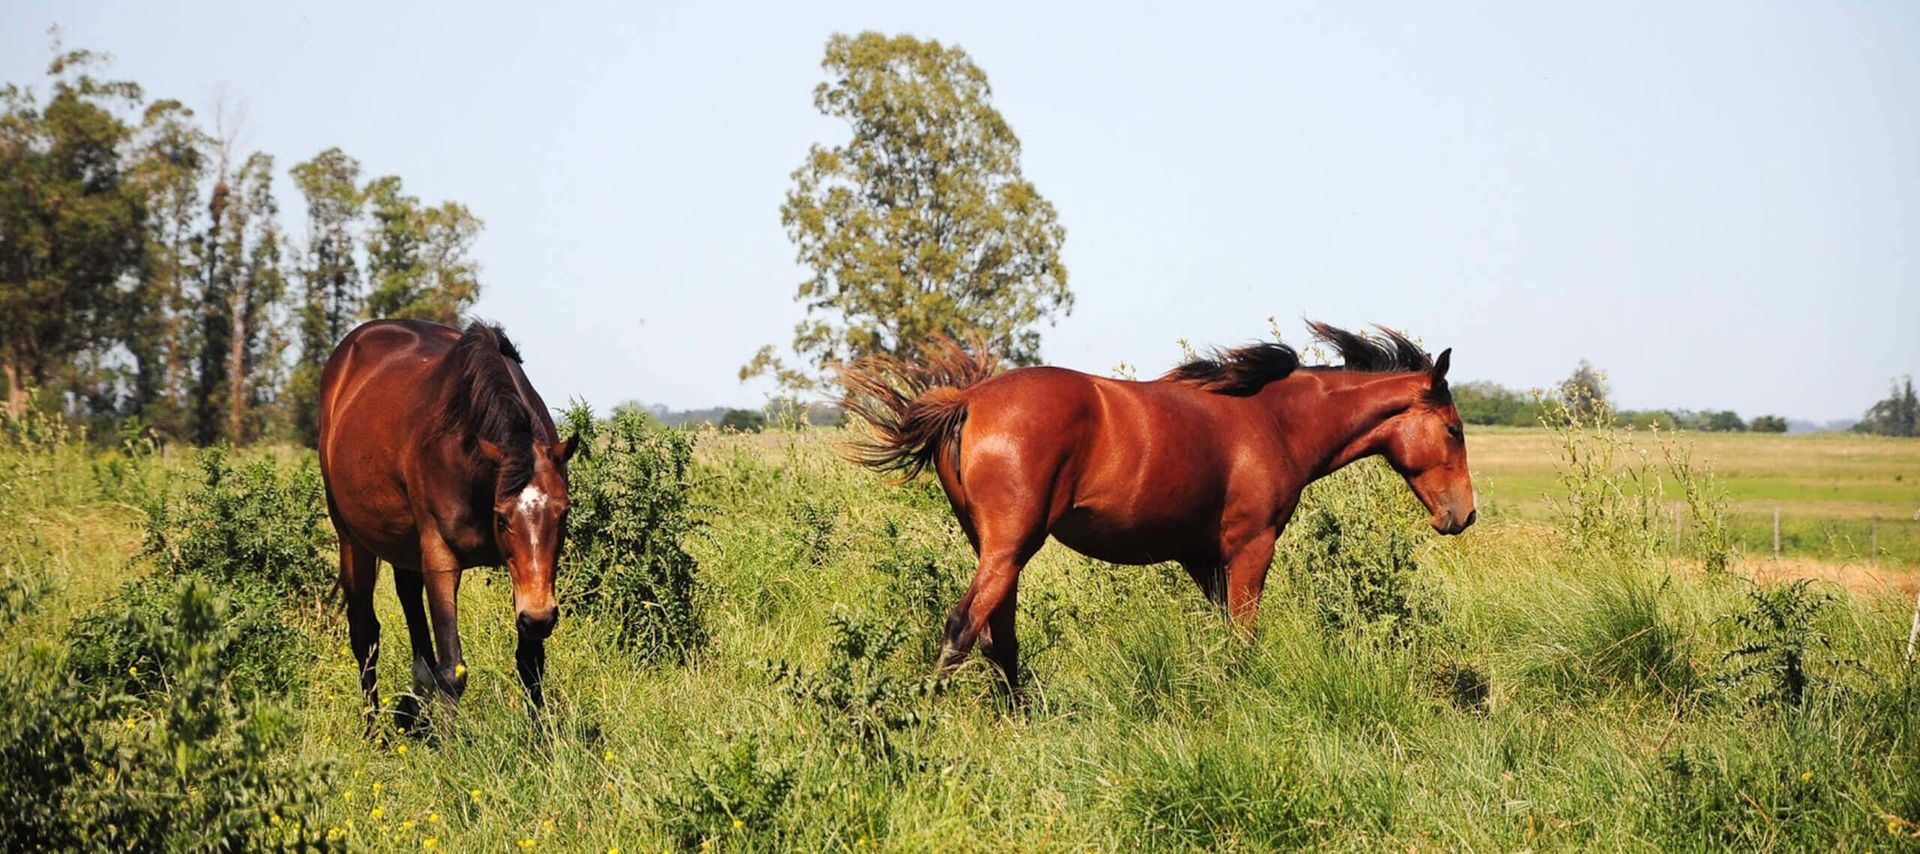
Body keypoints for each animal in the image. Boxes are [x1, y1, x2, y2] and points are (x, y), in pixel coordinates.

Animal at [318, 319, 577, 731]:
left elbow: (530, 662)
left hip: (404, 547)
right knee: (365, 635)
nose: (539, 617)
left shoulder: (527, 578)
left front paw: (542, 736)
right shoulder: (441, 558)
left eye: (563, 512)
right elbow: (452, 669)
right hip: (351, 540)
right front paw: (450, 742)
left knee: (410, 606)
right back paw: (374, 731)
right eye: (502, 517)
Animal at [837, 321, 1476, 692]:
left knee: (1001, 637)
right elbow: (1242, 639)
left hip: (998, 551)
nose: (1463, 515)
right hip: (1010, 548)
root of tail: (968, 398)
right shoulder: (1251, 550)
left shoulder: (1202, 558)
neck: (1273, 421)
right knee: (962, 629)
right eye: (1453, 429)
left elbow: (1224, 634)